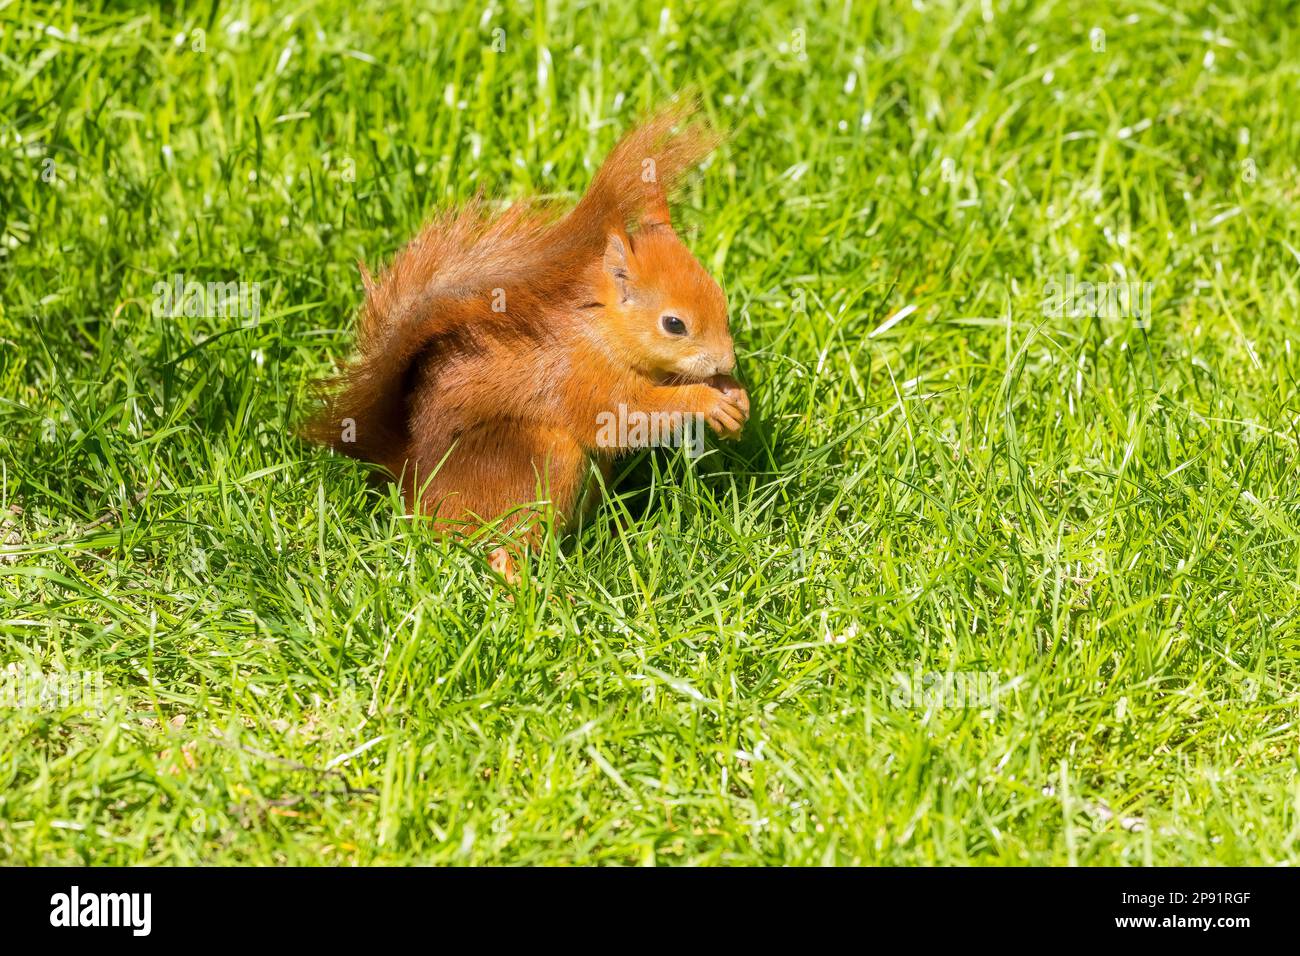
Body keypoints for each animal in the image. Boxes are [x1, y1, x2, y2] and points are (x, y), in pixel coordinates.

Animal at [306, 105, 754, 582]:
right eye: (673, 324)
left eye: (722, 300)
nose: (727, 360)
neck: (601, 331)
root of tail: (411, 481)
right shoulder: (581, 378)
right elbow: (627, 416)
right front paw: (706, 401)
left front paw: (733, 394)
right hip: (534, 456)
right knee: (499, 541)